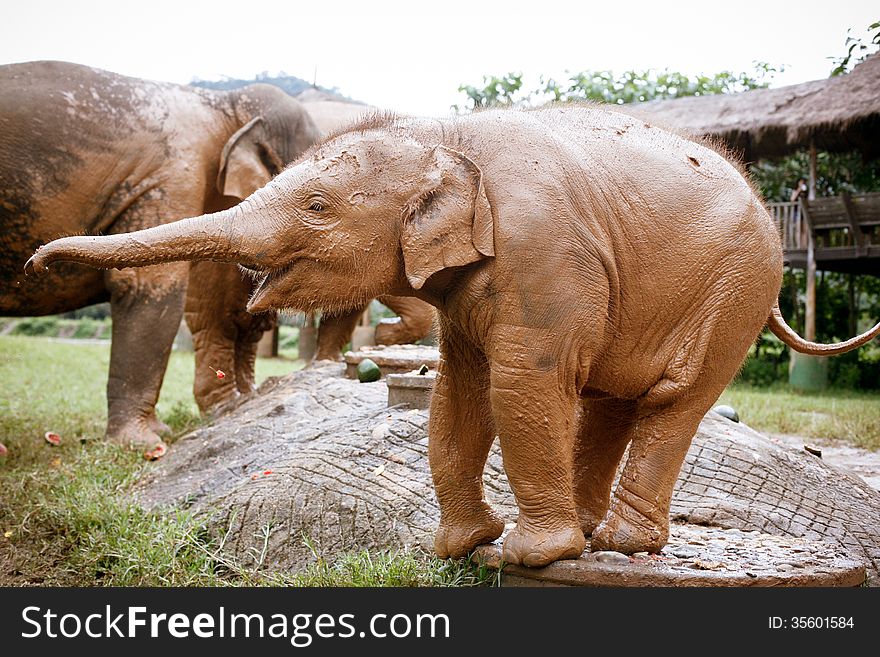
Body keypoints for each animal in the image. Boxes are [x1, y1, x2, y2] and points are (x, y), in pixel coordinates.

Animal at [0, 60, 320, 452]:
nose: (34, 264)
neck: (223, 105)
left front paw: (203, 416)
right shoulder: (172, 177)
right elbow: (148, 285)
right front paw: (143, 443)